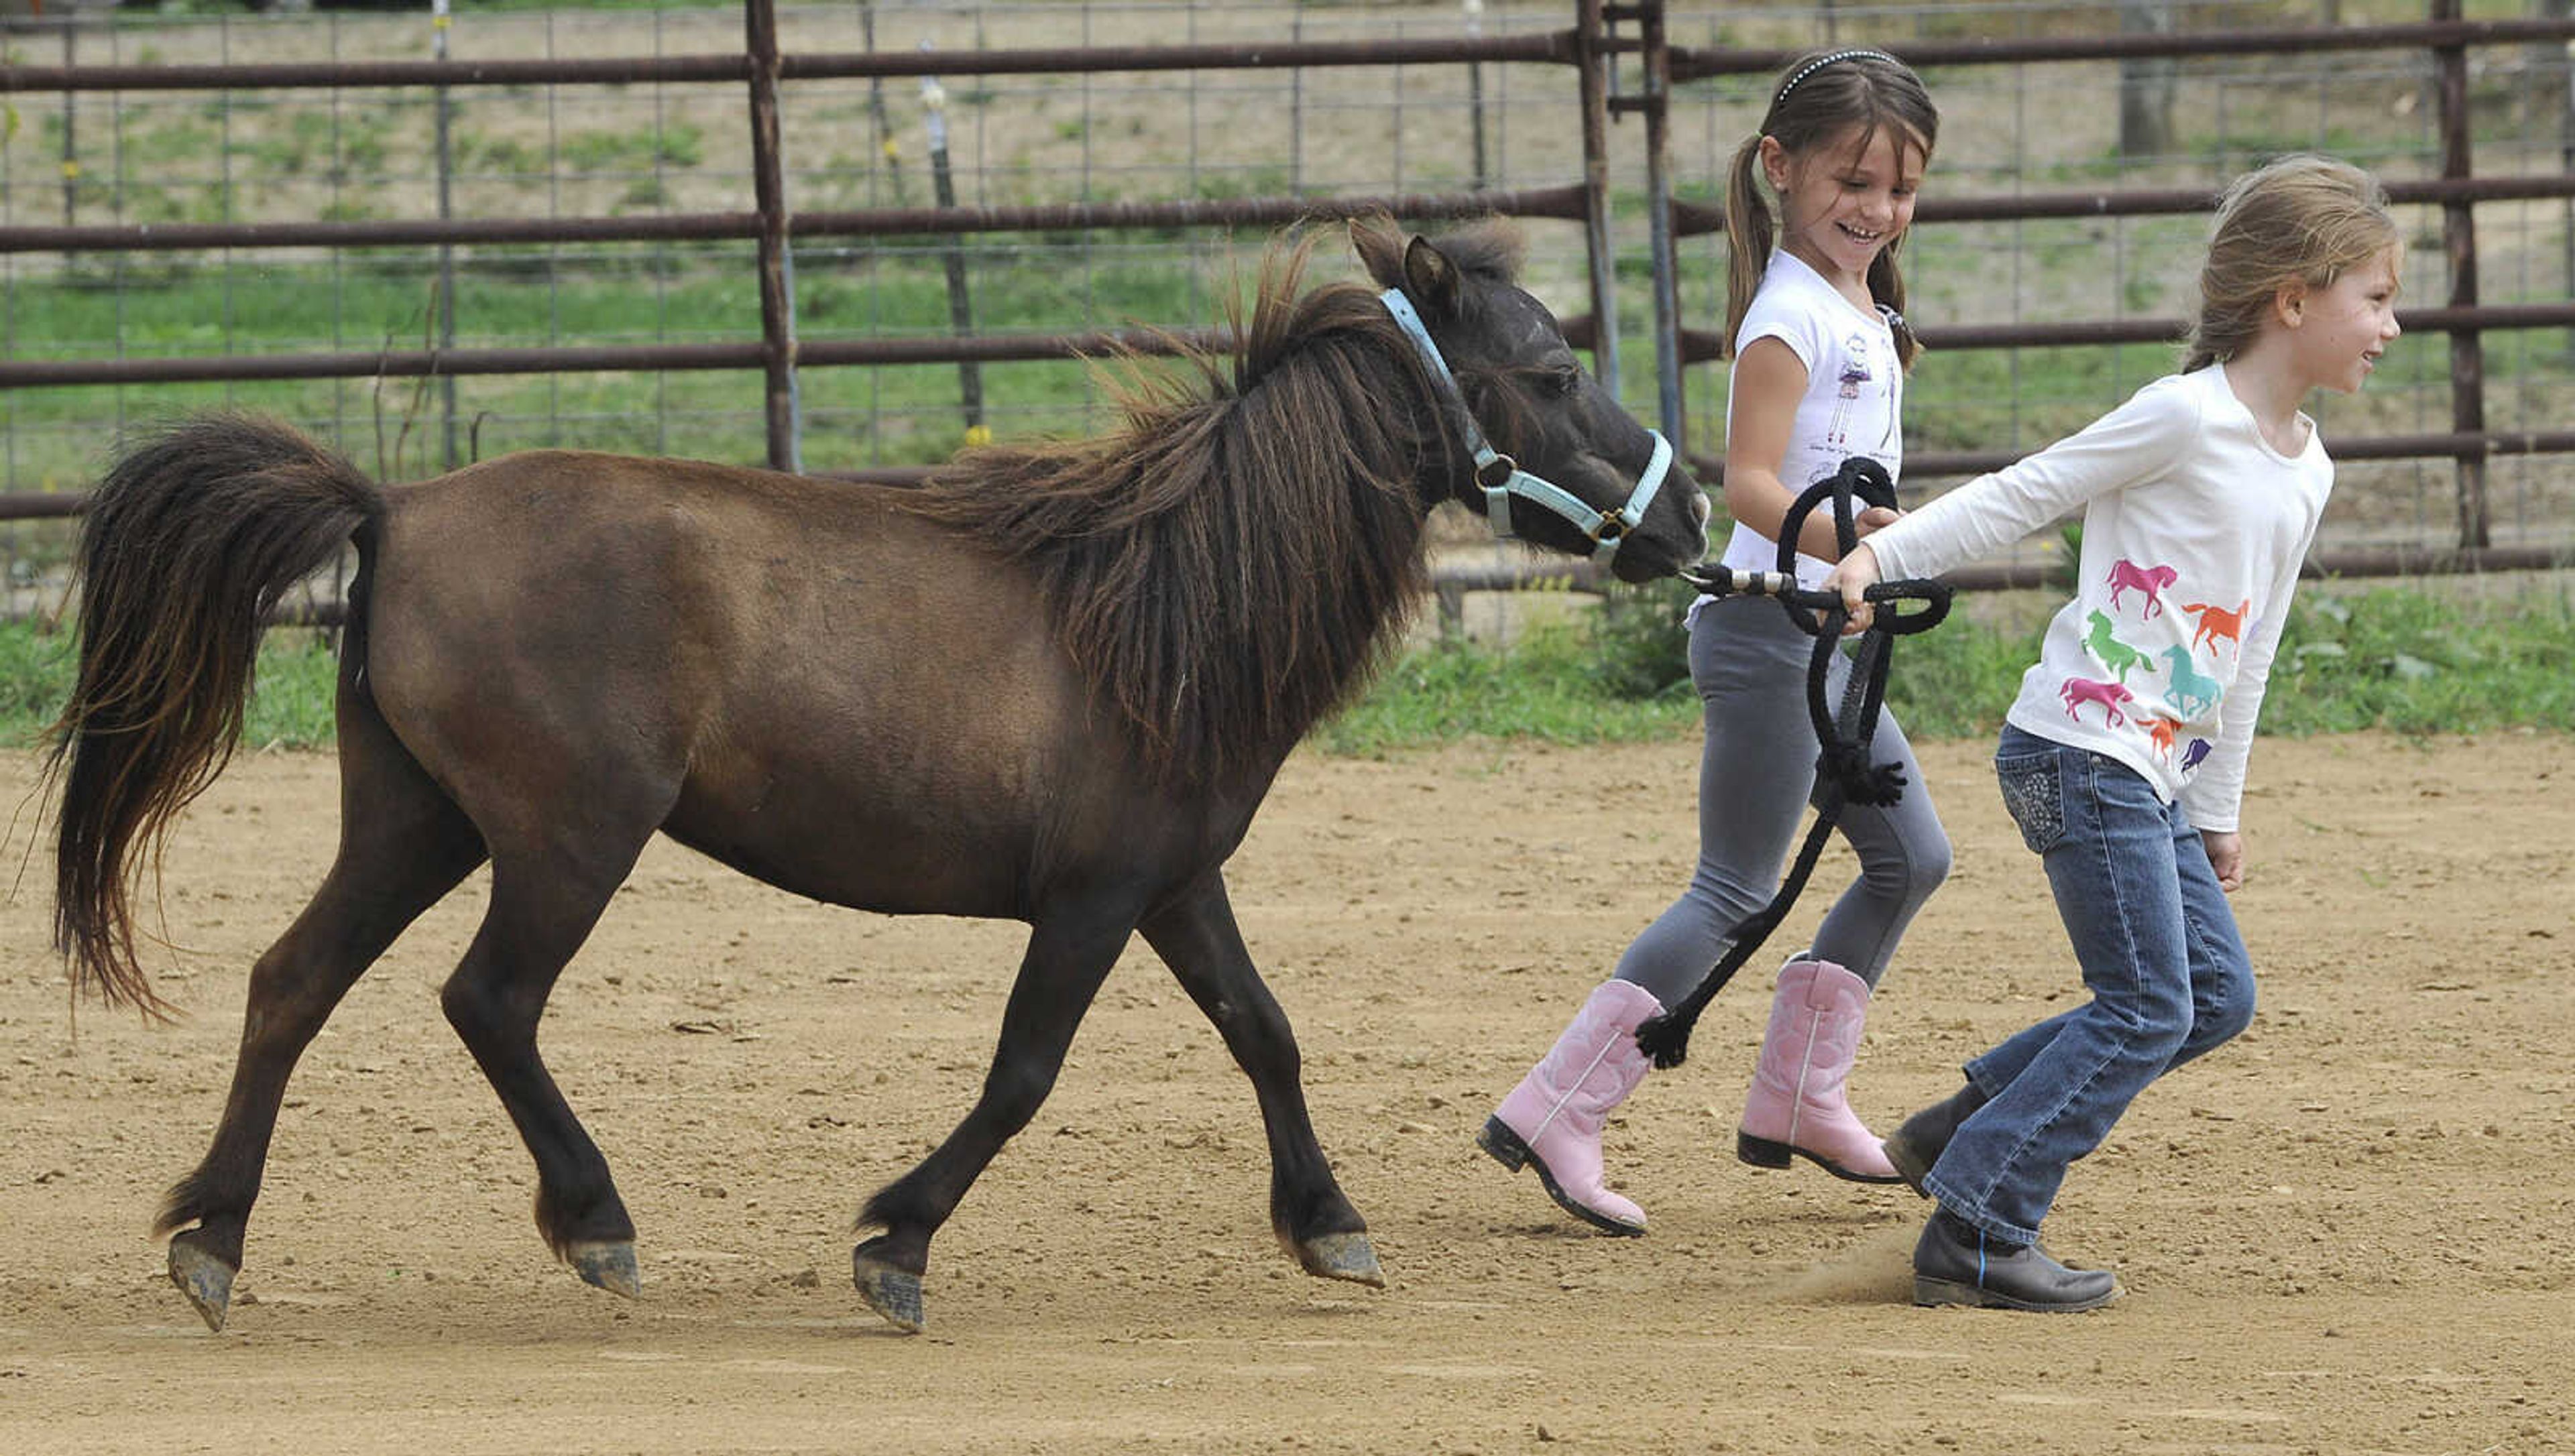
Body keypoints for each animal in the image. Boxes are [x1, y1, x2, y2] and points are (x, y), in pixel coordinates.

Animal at [40, 217, 1709, 1337]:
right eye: (1554, 366)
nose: (1690, 515)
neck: (1166, 603)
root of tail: (392, 508)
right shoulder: (1092, 901)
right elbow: (1025, 1074)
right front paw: (894, 1246)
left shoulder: (1176, 885)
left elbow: (1266, 1034)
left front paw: (1331, 1226)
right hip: (569, 838)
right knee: (486, 1002)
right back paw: (595, 1225)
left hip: (417, 819)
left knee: (292, 982)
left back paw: (214, 1240)